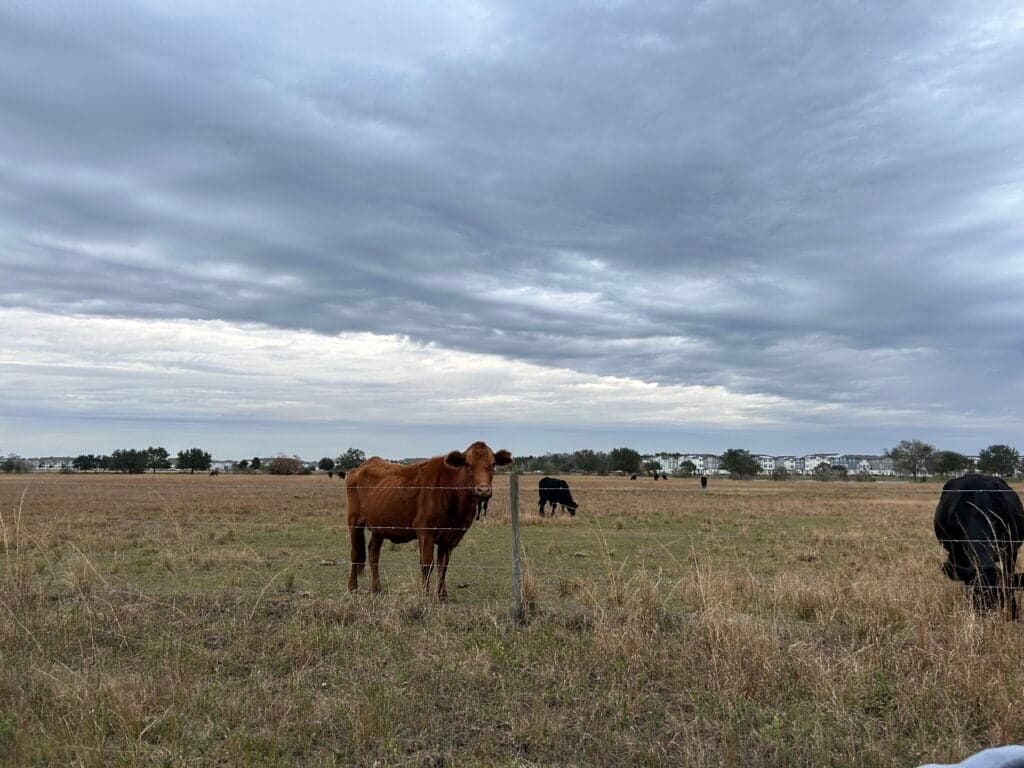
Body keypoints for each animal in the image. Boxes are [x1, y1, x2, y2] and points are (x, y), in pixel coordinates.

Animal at [346, 441, 512, 599]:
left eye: (493, 464)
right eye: (467, 464)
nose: (483, 490)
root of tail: (360, 467)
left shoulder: (450, 537)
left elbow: (443, 565)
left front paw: (442, 594)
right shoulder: (425, 532)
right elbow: (427, 564)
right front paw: (425, 595)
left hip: (378, 527)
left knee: (373, 553)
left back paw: (377, 588)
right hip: (354, 521)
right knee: (355, 553)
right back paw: (352, 587)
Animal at [934, 473, 1024, 617]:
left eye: (999, 593)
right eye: (976, 592)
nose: (986, 614)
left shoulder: (1010, 550)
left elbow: (1009, 580)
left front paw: (1012, 611)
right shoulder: (959, 553)